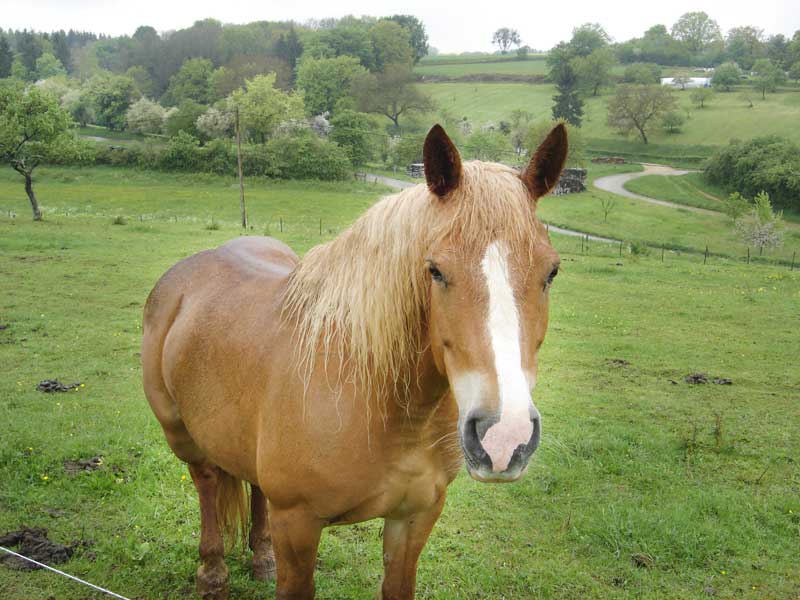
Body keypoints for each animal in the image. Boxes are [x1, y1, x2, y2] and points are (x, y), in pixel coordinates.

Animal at [141, 123, 568, 600]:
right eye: (436, 270)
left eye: (551, 272)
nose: (504, 438)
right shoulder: (297, 524)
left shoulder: (414, 518)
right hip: (183, 436)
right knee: (207, 484)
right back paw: (213, 574)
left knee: (252, 487)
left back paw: (262, 558)